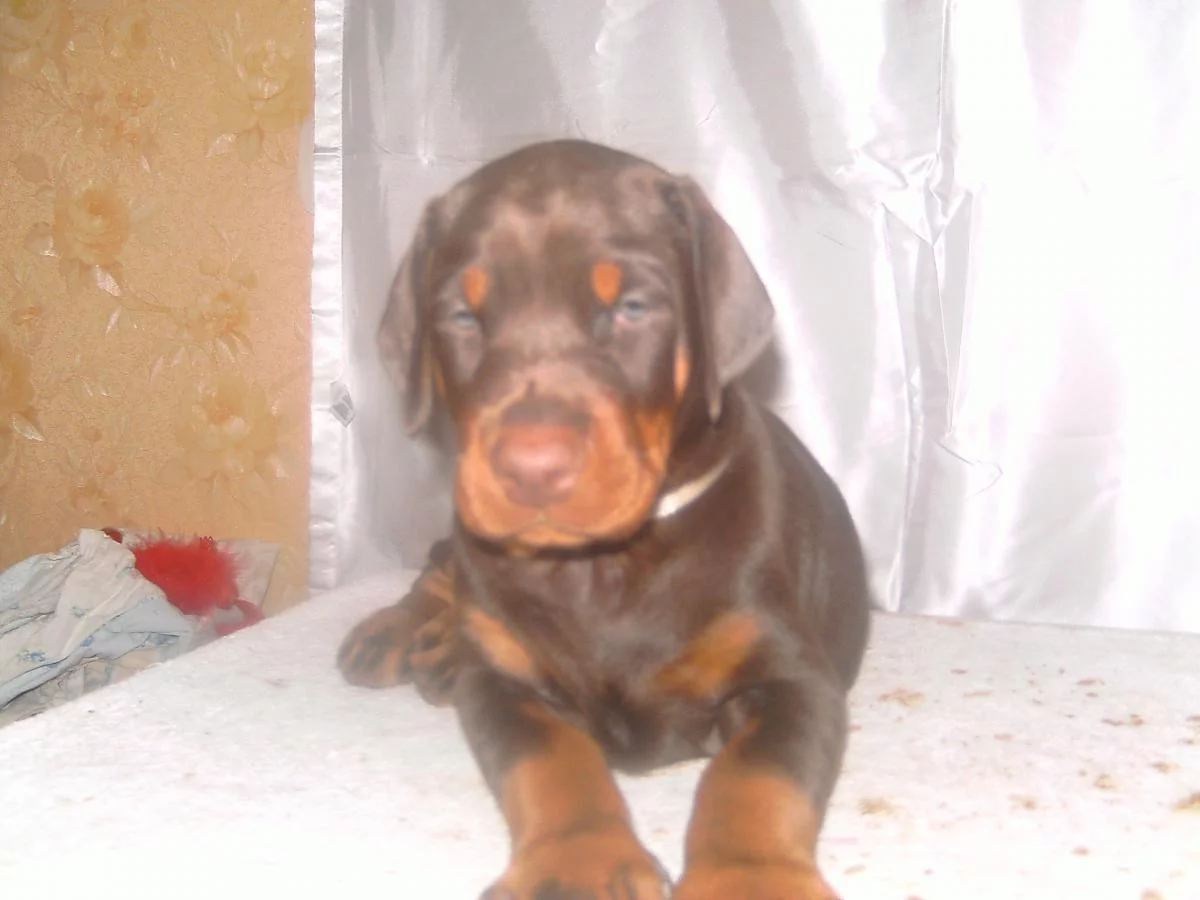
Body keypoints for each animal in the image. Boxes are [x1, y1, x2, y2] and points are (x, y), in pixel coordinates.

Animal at [337, 139, 871, 900]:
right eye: (463, 318)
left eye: (632, 307)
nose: (531, 467)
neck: (602, 567)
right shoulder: (500, 686)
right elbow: (549, 759)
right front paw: (577, 862)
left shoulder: (793, 677)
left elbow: (752, 776)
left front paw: (748, 879)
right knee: (441, 571)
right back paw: (406, 631)